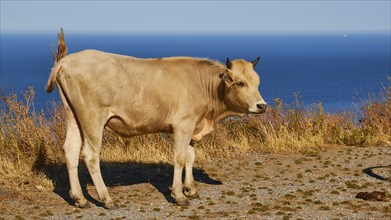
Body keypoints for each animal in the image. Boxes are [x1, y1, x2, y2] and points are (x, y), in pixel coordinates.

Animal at [44, 29, 268, 210]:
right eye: (240, 83)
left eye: (257, 81)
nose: (262, 106)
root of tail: (66, 60)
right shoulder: (183, 125)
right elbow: (179, 157)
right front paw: (179, 195)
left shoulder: (193, 125)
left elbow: (190, 156)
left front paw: (191, 189)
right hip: (93, 119)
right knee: (90, 155)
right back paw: (107, 199)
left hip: (73, 116)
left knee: (71, 151)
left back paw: (80, 199)